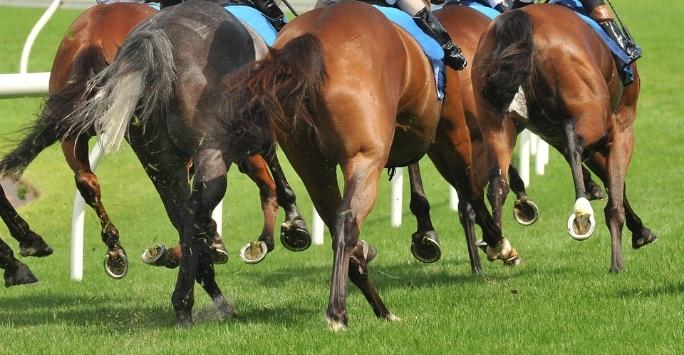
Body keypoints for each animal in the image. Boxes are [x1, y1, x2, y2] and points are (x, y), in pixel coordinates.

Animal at [223, 0, 520, 330]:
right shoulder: (449, 132)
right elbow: (470, 190)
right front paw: (498, 244)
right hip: (367, 158)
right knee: (347, 222)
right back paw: (338, 311)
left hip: (311, 165)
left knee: (336, 223)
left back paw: (380, 307)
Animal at [470, 4, 656, 272]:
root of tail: (520, 20)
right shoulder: (621, 127)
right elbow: (615, 187)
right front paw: (624, 252)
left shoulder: (557, 136)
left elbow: (611, 181)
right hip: (592, 118)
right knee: (574, 143)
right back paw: (582, 213)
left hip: (497, 125)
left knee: (497, 183)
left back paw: (498, 243)